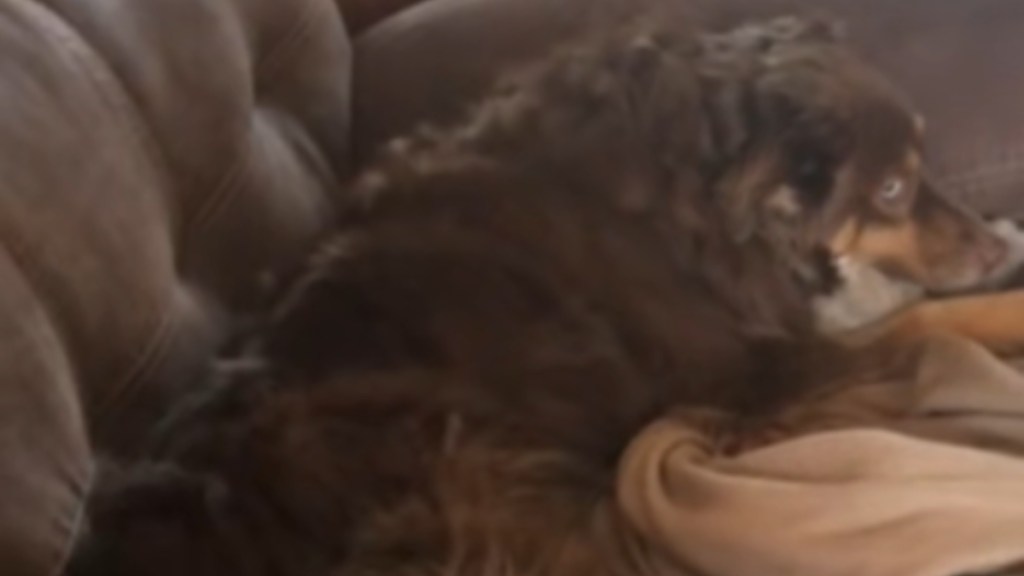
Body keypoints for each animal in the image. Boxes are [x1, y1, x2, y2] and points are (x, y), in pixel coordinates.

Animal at [70, 13, 1015, 573]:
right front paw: (1006, 299)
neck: (695, 179)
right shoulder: (738, 368)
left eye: (922, 165)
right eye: (891, 190)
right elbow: (923, 317)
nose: (991, 244)